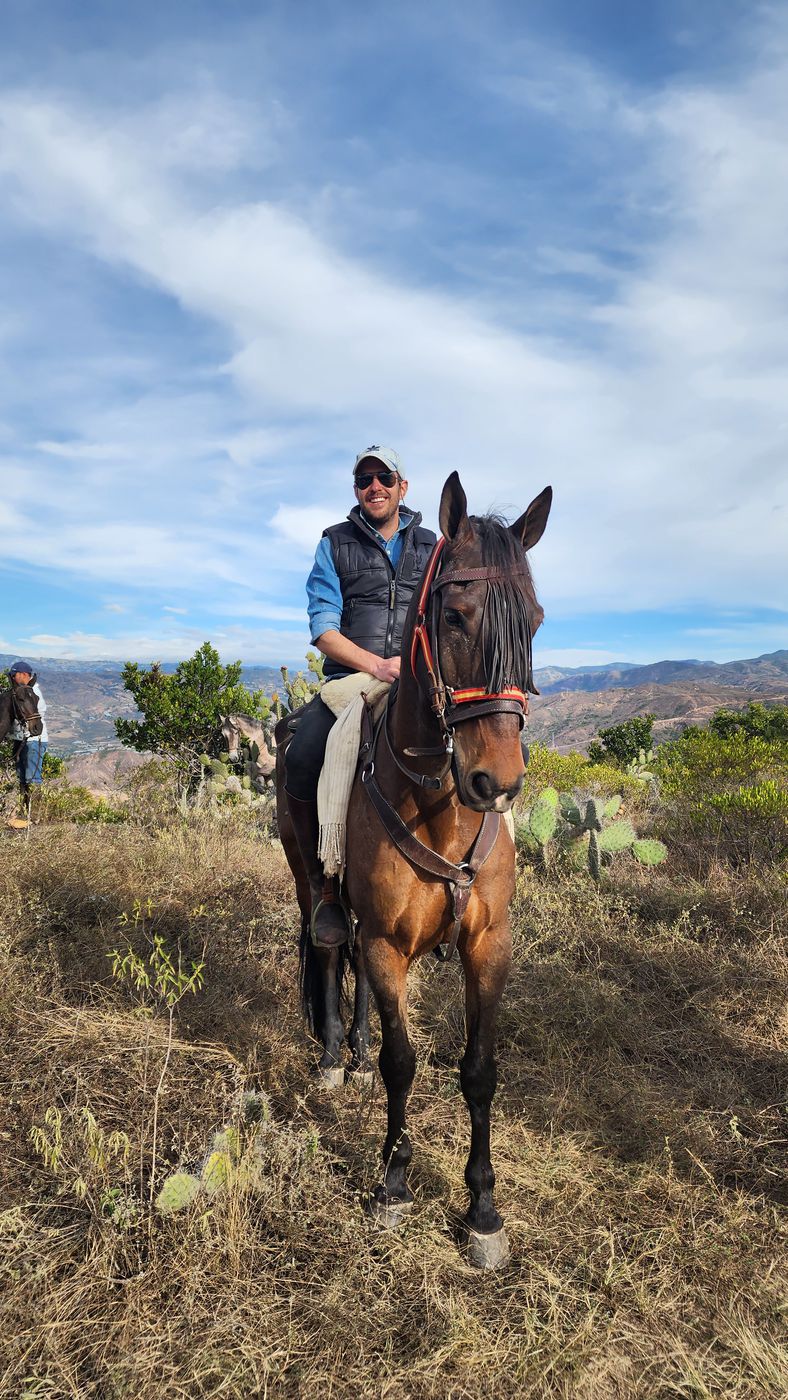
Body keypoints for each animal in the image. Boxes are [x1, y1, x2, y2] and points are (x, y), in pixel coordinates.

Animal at [279, 473, 551, 1271]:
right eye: (454, 615)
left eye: (534, 620)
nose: (496, 782)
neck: (440, 806)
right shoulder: (386, 944)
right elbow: (403, 1063)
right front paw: (394, 1184)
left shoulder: (488, 946)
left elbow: (479, 1068)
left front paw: (483, 1211)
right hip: (308, 878)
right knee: (325, 943)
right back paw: (335, 1054)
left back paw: (353, 1043)